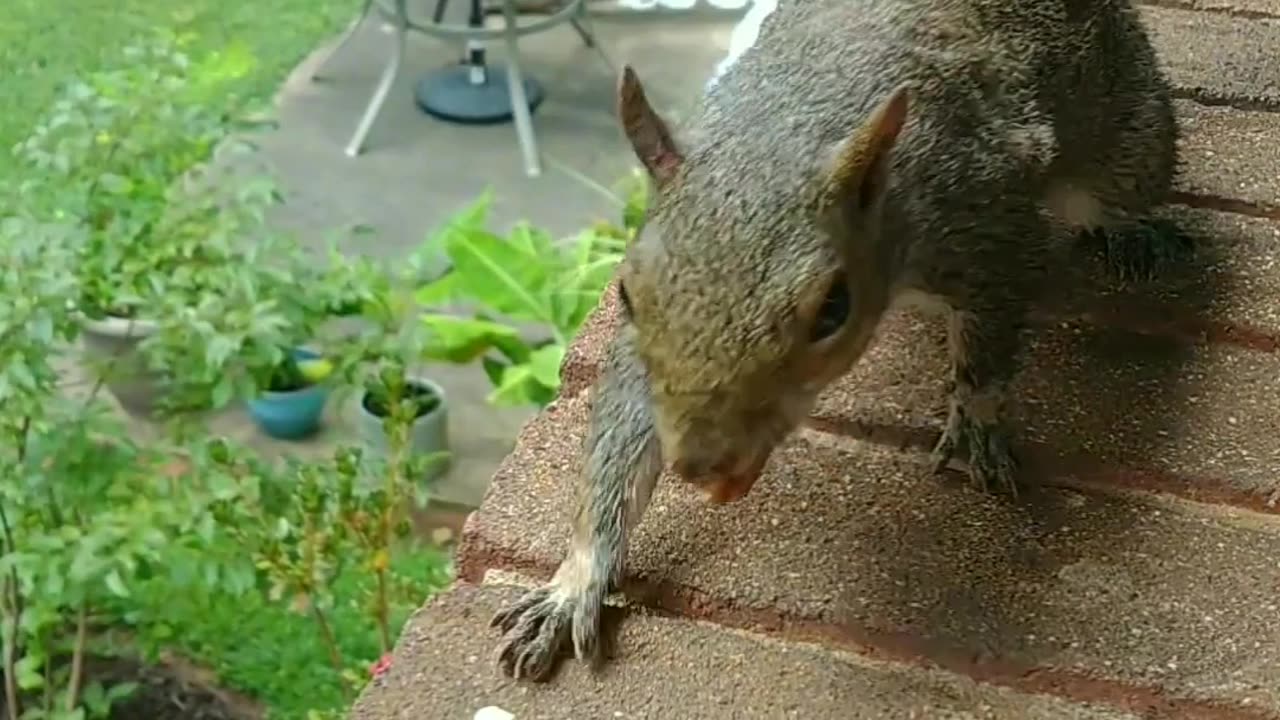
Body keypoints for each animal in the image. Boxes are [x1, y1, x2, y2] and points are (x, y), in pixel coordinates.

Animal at [486, 0, 1177, 676]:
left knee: (1125, 180)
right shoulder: (642, 359)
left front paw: (975, 419)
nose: (701, 465)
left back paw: (1136, 234)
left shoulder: (987, 225)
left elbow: (989, 344)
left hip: (1127, 130)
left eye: (832, 310)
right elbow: (621, 440)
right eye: (627, 292)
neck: (786, 124)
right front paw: (573, 585)